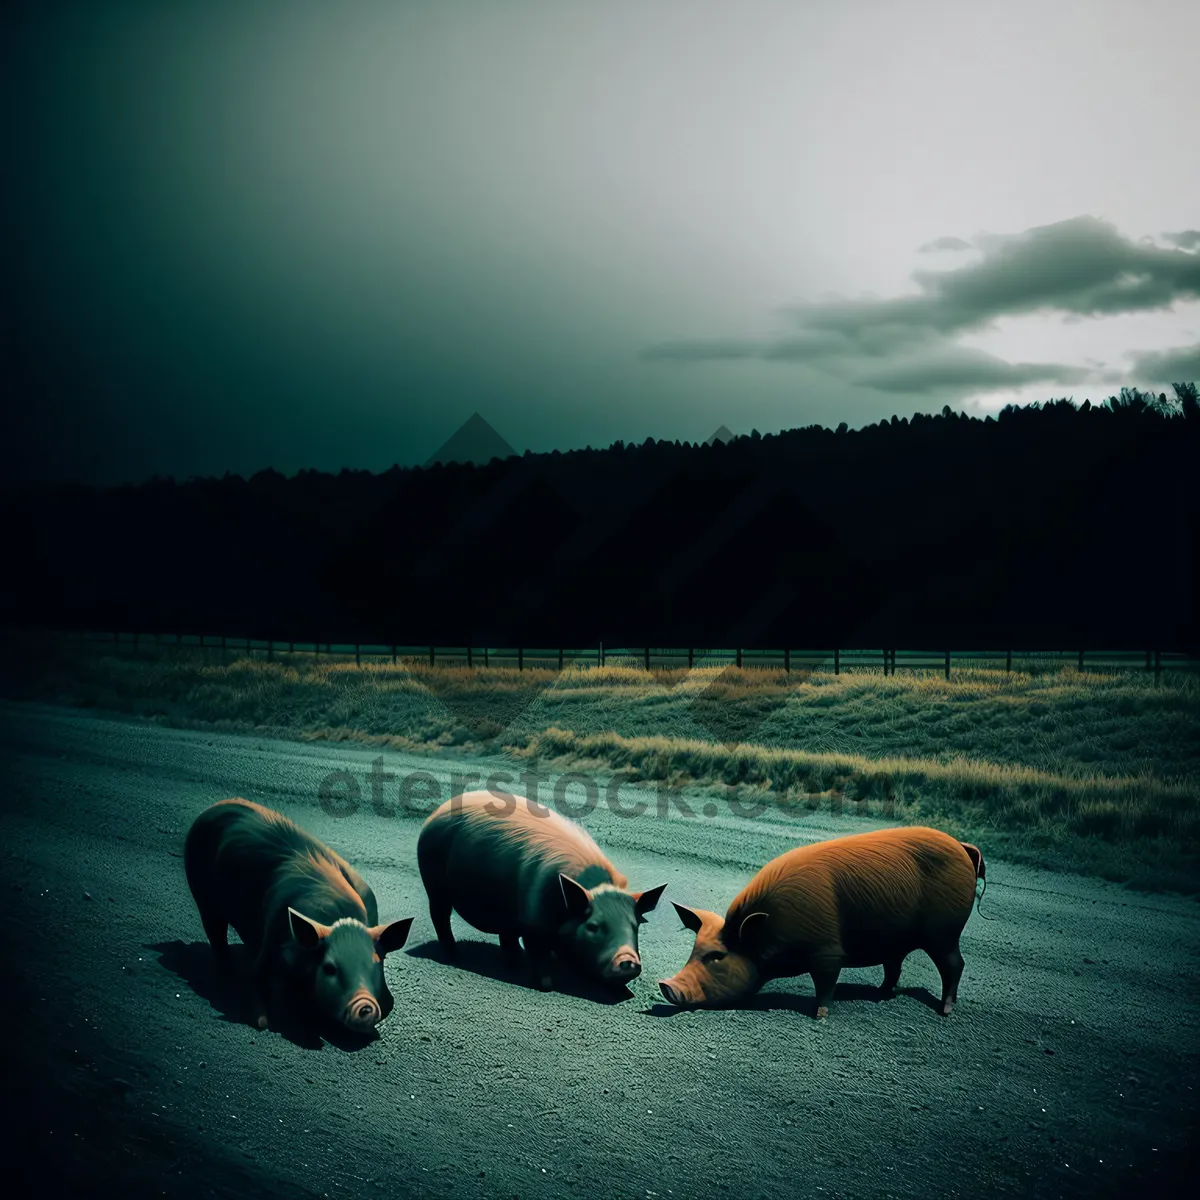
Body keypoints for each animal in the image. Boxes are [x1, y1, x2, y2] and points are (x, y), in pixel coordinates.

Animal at [182, 796, 415, 1032]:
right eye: (329, 968)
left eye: (375, 963)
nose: (365, 1005)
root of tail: (217, 805)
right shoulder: (271, 935)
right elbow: (257, 979)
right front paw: (263, 1022)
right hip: (203, 898)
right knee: (215, 933)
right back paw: (227, 970)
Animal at [420, 792, 667, 988]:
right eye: (593, 927)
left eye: (635, 926)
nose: (628, 960)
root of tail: (436, 813)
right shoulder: (533, 925)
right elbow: (537, 954)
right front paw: (545, 985)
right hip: (434, 885)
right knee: (440, 916)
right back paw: (453, 956)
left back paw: (512, 961)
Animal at [657, 830, 984, 1017]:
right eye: (693, 952)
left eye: (717, 957)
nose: (665, 985)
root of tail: (963, 847)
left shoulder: (828, 951)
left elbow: (825, 983)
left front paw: (820, 1015)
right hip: (900, 940)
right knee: (895, 966)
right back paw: (880, 994)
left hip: (944, 933)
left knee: (955, 964)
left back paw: (945, 1011)